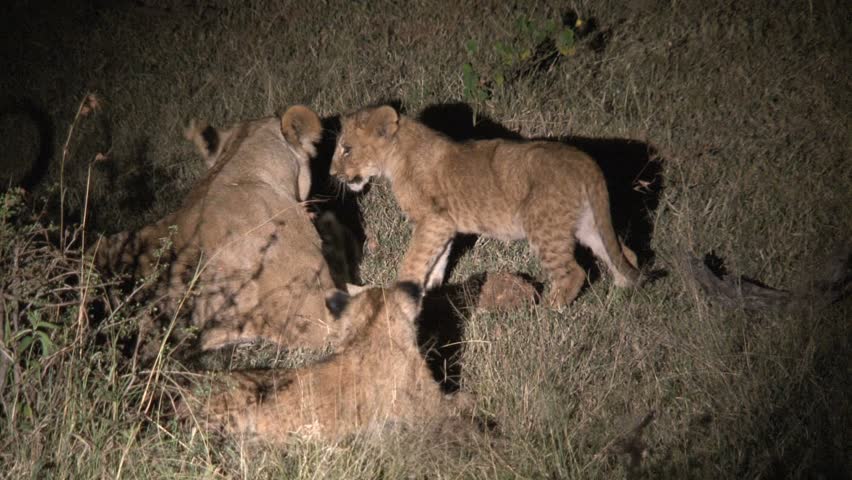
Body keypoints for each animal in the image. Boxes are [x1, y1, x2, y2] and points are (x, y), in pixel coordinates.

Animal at [330, 105, 640, 307]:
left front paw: (401, 296)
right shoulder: (444, 224)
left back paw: (549, 311)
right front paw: (431, 289)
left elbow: (415, 260)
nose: (332, 174)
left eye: (346, 149)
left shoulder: (432, 220)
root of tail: (586, 162)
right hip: (588, 224)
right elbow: (437, 259)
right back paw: (621, 295)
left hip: (544, 227)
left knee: (573, 272)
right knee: (626, 254)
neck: (397, 155)